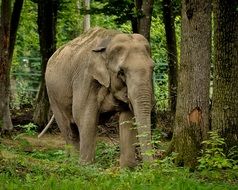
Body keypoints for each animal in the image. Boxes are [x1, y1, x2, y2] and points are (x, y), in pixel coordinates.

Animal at [45, 27, 154, 167]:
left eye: (153, 68)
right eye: (121, 72)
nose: (151, 167)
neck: (110, 39)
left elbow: (127, 118)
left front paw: (128, 168)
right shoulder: (85, 77)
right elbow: (85, 117)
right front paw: (86, 167)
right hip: (53, 95)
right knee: (69, 129)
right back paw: (73, 163)